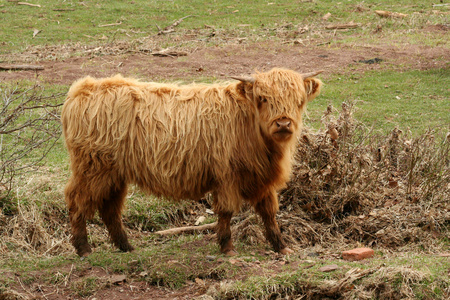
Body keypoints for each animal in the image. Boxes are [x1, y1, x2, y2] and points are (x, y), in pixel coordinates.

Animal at [62, 68, 324, 255]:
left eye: (299, 100)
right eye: (263, 98)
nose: (283, 123)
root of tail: (82, 89)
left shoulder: (262, 179)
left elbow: (269, 213)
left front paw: (281, 246)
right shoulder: (227, 177)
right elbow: (226, 211)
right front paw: (227, 248)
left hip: (115, 175)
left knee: (110, 210)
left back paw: (125, 247)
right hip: (92, 169)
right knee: (77, 201)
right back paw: (83, 249)